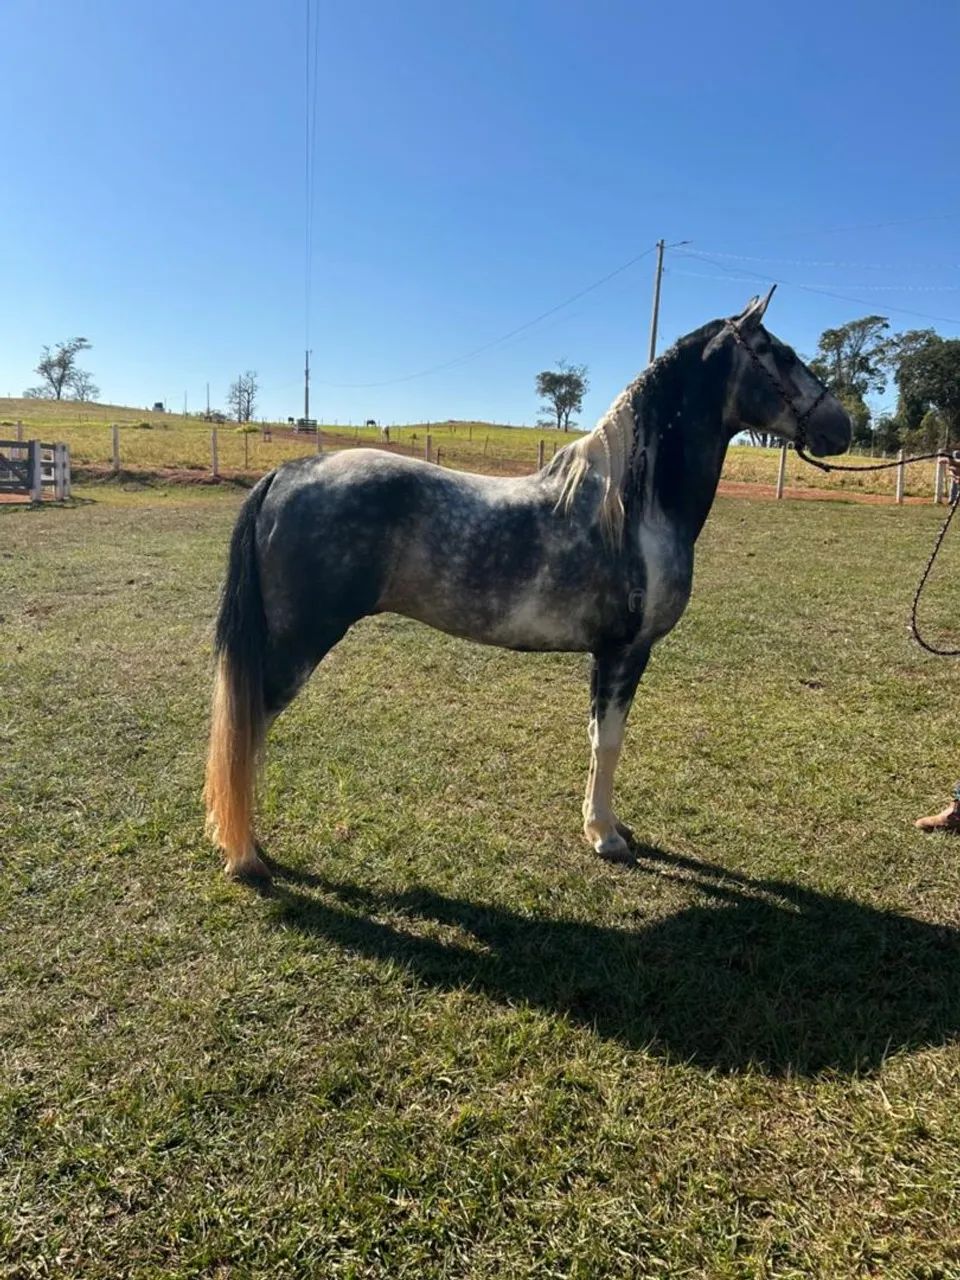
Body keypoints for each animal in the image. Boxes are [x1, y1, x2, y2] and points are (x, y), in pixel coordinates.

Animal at [204, 290, 850, 885]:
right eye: (779, 353)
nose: (842, 426)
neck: (632, 508)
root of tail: (287, 472)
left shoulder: (603, 654)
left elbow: (594, 737)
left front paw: (600, 824)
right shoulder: (627, 652)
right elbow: (610, 741)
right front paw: (607, 837)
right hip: (297, 646)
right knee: (247, 731)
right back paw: (245, 856)